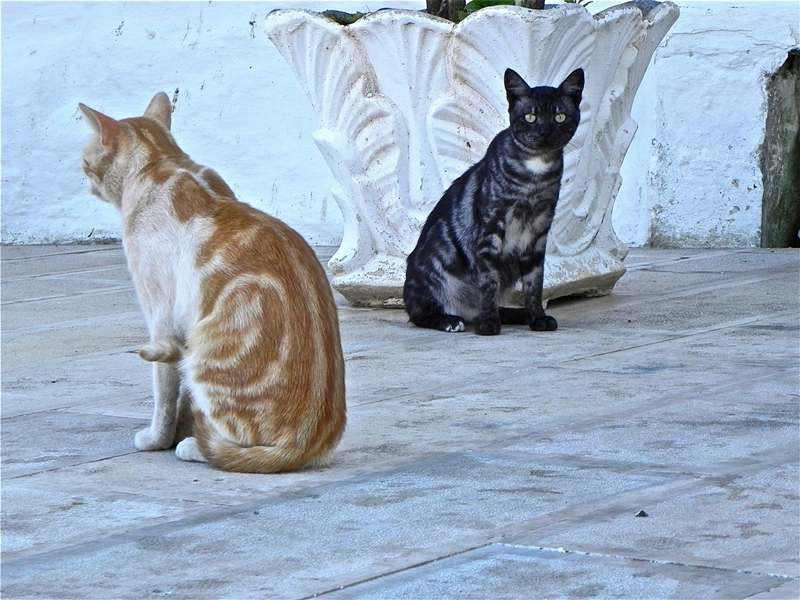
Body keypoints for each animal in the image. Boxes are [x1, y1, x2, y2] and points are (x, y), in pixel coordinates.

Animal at [77, 92, 346, 474]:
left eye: (84, 164)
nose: (84, 181)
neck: (160, 163)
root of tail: (306, 445)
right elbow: (180, 398)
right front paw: (182, 424)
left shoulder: (161, 318)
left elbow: (164, 393)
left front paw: (159, 438)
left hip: (206, 356)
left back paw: (194, 445)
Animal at [406, 69, 580, 338]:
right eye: (530, 117)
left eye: (559, 117)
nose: (544, 132)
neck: (534, 177)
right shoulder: (490, 233)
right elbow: (488, 284)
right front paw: (488, 323)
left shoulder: (537, 237)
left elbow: (534, 285)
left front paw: (538, 317)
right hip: (437, 264)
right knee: (419, 314)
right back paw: (449, 320)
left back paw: (519, 315)